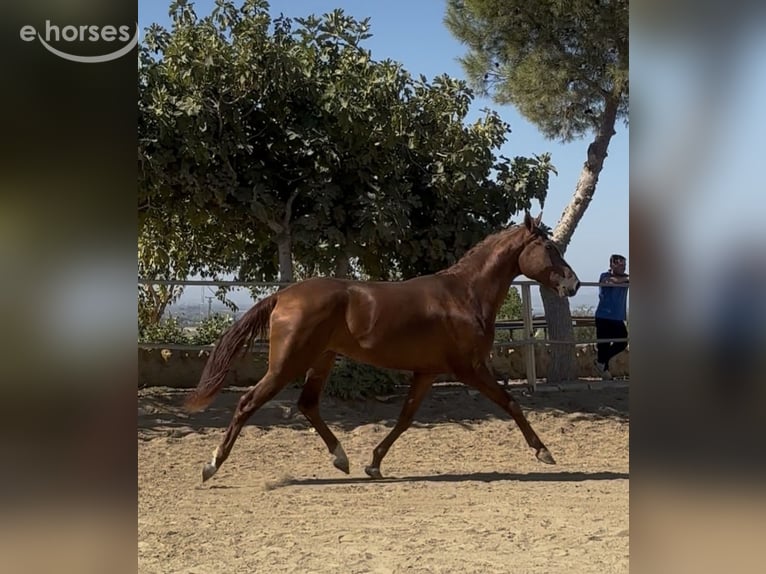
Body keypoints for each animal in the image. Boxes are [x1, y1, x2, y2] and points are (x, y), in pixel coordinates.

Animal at [185, 212, 580, 482]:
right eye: (549, 247)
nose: (574, 284)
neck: (464, 296)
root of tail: (284, 295)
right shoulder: (470, 368)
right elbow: (511, 403)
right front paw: (544, 452)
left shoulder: (428, 371)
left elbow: (405, 417)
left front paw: (373, 463)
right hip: (287, 364)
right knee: (248, 402)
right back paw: (211, 465)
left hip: (322, 359)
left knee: (307, 404)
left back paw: (341, 458)